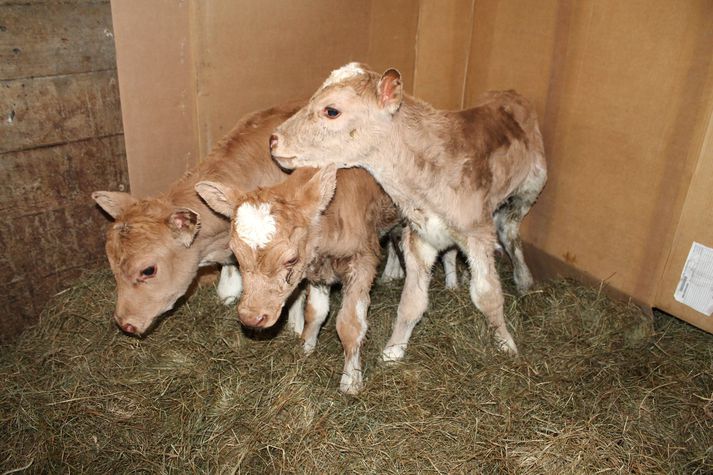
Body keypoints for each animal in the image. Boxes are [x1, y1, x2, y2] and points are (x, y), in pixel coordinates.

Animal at [195, 165, 400, 394]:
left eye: (291, 259)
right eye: (236, 254)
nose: (251, 318)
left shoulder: (362, 261)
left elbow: (350, 325)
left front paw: (351, 382)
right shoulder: (318, 269)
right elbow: (315, 312)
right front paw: (305, 347)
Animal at [270, 63, 548, 360]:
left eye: (331, 110)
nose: (274, 139)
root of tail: (510, 93)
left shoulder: (477, 232)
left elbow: (488, 296)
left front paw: (506, 344)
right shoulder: (420, 236)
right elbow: (412, 301)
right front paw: (393, 351)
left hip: (531, 187)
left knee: (509, 231)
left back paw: (524, 281)